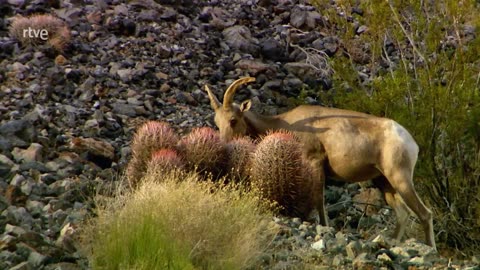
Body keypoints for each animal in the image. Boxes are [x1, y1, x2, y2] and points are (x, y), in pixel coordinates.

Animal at [204, 76, 436, 249]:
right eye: (217, 122)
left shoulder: (315, 162)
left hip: (400, 179)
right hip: (384, 183)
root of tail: (409, 140)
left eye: (233, 120)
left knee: (425, 213)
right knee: (403, 214)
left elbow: (318, 200)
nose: (225, 145)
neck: (283, 123)